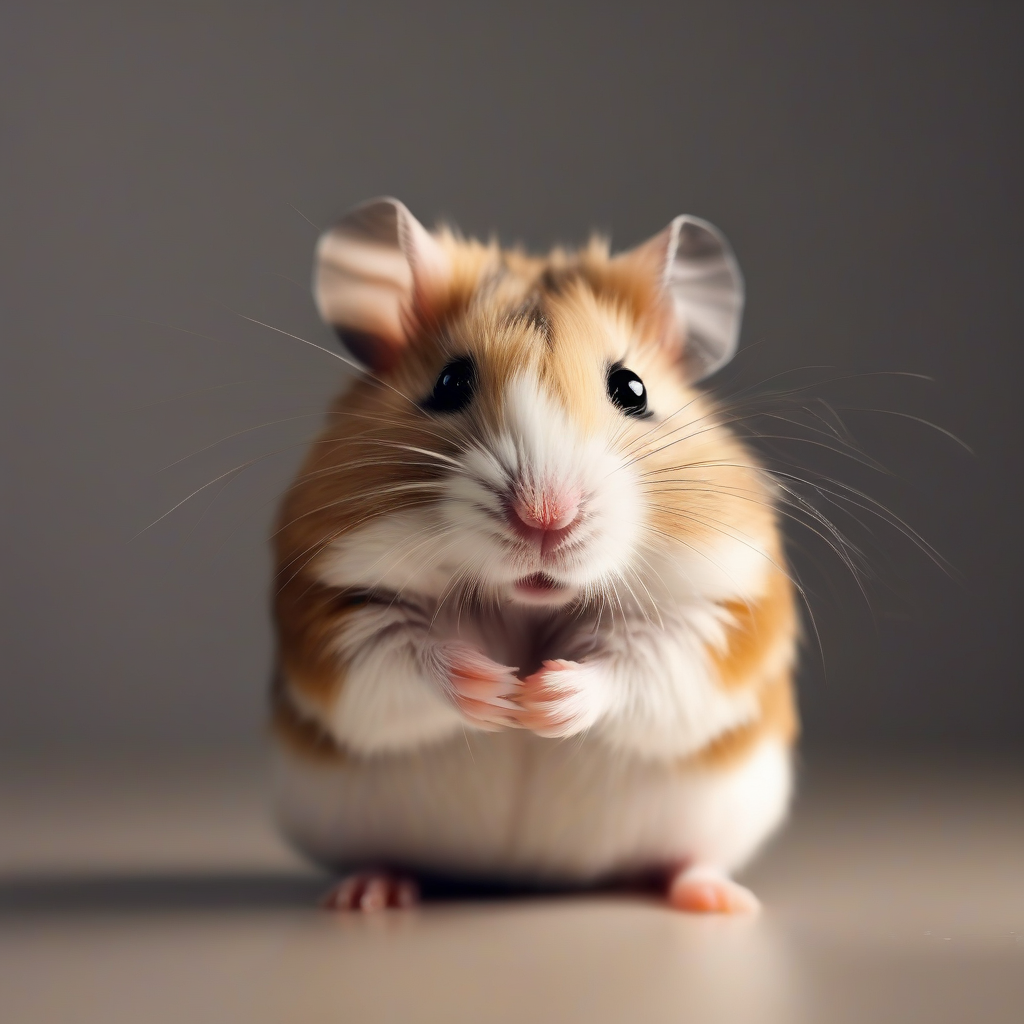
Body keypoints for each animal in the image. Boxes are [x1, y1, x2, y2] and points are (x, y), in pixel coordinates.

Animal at [270, 197, 799, 913]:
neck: (527, 602)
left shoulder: (718, 612)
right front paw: (498, 691)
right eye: (449, 382)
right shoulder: (331, 608)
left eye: (632, 388)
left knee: (690, 857)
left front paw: (543, 697)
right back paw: (368, 893)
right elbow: (400, 656)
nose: (546, 516)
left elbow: (644, 665)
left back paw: (715, 899)